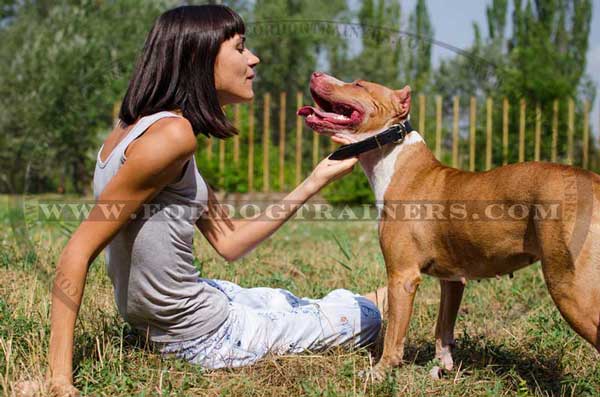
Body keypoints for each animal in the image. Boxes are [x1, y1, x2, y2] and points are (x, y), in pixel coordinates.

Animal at [296, 70, 600, 378]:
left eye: (358, 84)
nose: (316, 73)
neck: (395, 161)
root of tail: (594, 182)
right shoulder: (453, 279)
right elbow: (443, 327)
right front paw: (442, 367)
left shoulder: (402, 276)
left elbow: (394, 334)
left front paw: (379, 372)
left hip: (570, 288)